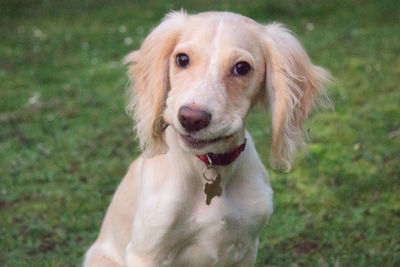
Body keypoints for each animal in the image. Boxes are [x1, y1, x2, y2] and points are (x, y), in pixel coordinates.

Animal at [83, 10, 328, 267]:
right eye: (182, 59)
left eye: (242, 67)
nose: (191, 118)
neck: (209, 166)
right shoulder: (145, 253)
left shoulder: (246, 247)